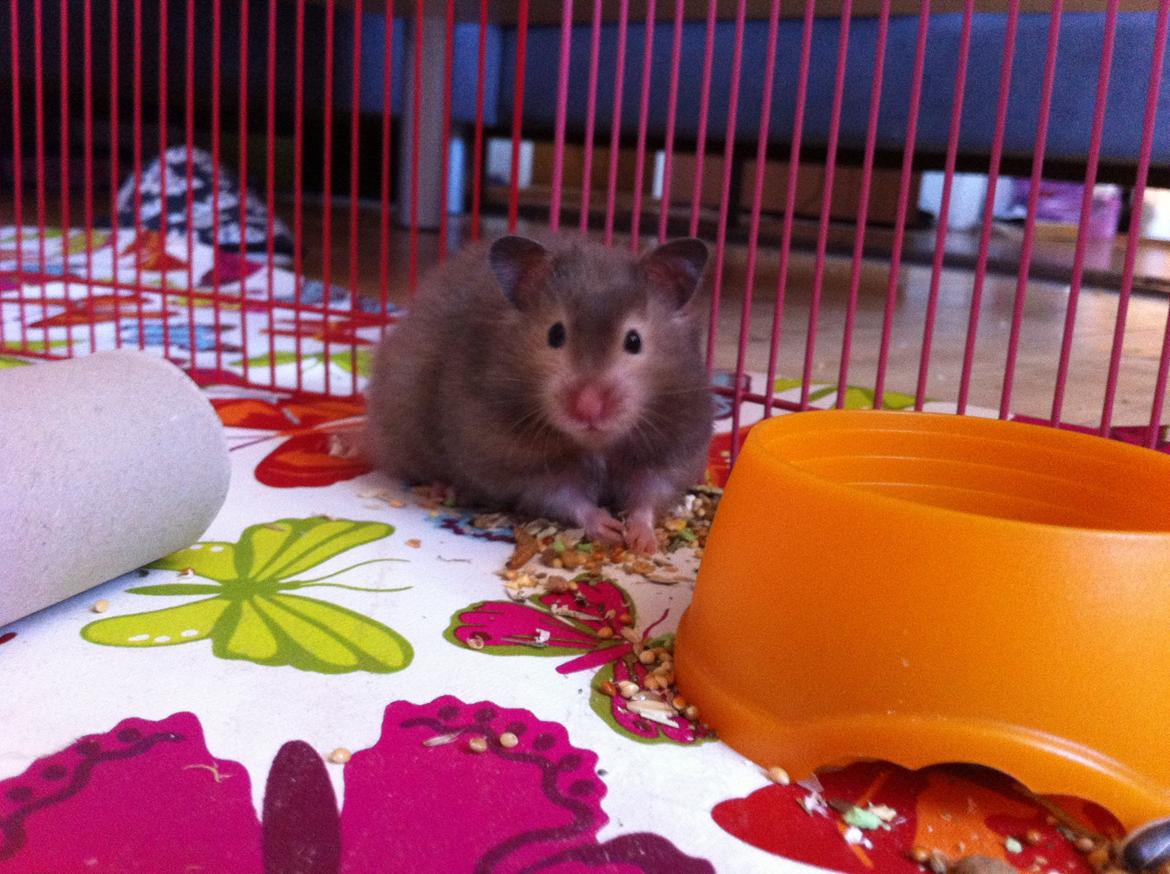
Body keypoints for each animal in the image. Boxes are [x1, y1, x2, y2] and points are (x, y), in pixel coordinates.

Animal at [364, 233, 714, 554]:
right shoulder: (521, 466)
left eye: (634, 341)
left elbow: (648, 496)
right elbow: (565, 497)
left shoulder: (671, 449)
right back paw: (446, 490)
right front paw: (609, 530)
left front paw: (643, 543)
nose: (588, 408)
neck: (594, 444)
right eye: (555, 334)